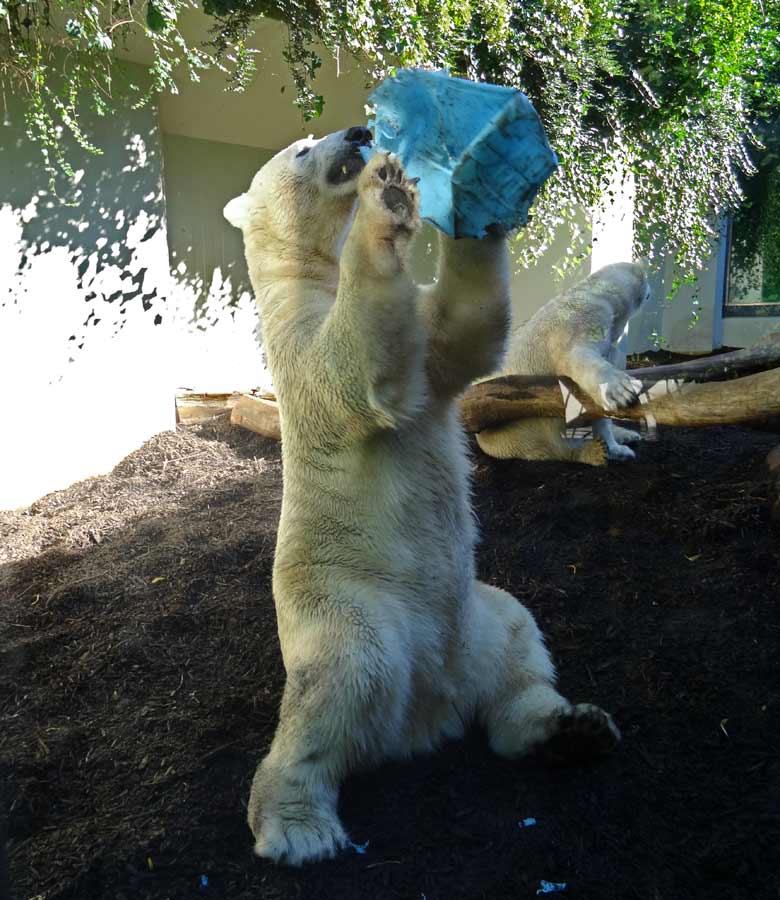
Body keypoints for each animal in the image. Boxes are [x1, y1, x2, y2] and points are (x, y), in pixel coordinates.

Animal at [222, 126, 620, 864]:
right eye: (302, 148)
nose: (357, 134)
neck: (299, 278)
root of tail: (431, 708)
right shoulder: (297, 354)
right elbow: (358, 367)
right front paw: (386, 194)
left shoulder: (428, 350)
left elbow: (459, 331)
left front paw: (472, 182)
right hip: (354, 607)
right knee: (339, 683)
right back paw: (298, 825)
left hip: (476, 616)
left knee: (518, 646)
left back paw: (569, 729)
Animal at [476, 262, 652, 464]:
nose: (651, 288)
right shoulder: (576, 321)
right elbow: (576, 356)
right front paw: (622, 391)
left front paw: (619, 447)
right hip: (519, 434)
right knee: (558, 446)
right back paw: (594, 451)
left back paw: (625, 434)